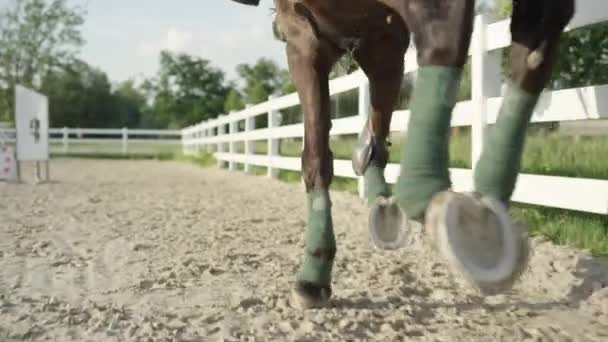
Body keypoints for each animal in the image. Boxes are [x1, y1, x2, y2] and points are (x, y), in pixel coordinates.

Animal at [229, 0, 576, 310]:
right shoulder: (302, 32)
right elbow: (316, 157)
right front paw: (313, 275)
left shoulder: (385, 36)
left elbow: (531, 50)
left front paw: (483, 214)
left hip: (383, 47)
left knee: (377, 131)